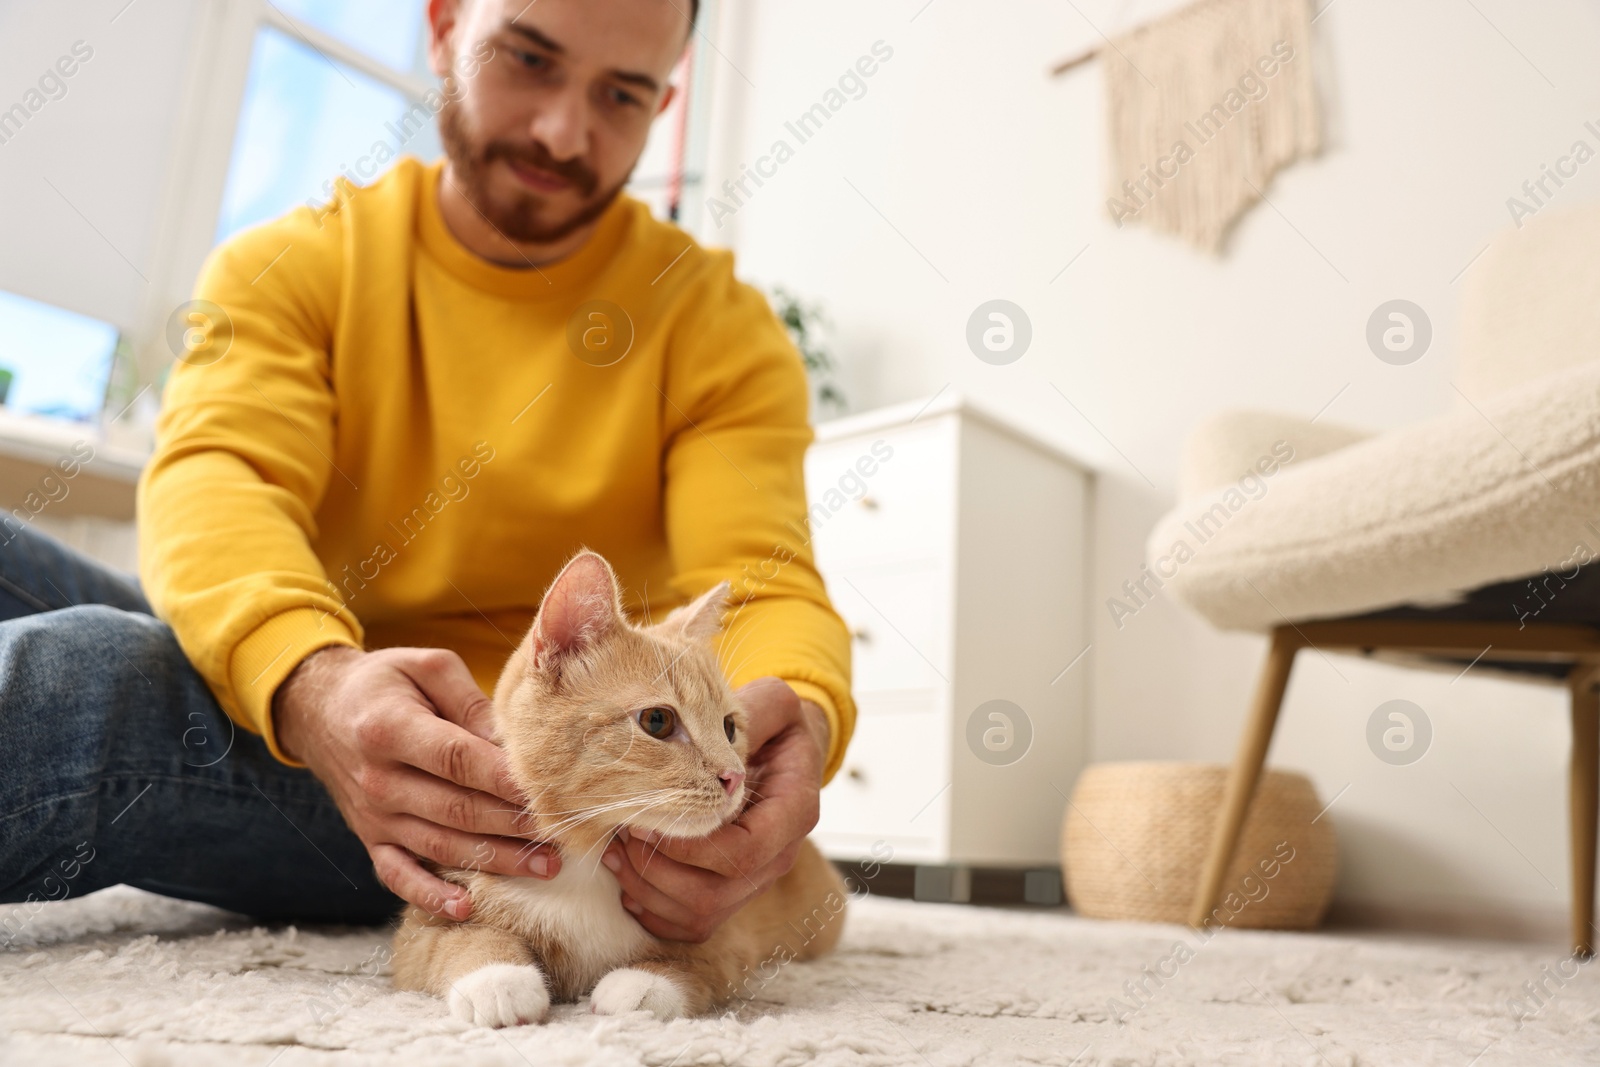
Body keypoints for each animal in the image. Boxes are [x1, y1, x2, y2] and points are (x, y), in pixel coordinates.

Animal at [392, 550, 851, 1023]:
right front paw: (498, 978)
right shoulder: (425, 923)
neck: (588, 859)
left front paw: (643, 984)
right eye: (657, 720)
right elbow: (456, 939)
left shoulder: (728, 937)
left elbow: (697, 962)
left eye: (729, 727)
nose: (735, 777)